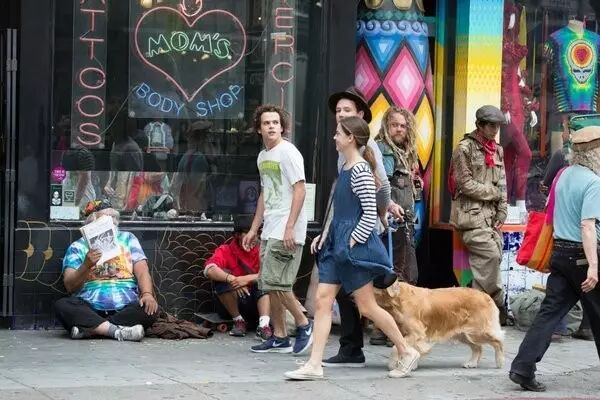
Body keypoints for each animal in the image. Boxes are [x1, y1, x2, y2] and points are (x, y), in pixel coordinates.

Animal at [374, 281, 505, 370]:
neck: (397, 298)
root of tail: (486, 295)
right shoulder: (409, 334)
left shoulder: (417, 333)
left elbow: (396, 347)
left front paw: (393, 364)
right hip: (464, 334)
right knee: (478, 347)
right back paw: (471, 363)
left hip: (477, 332)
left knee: (498, 342)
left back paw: (499, 362)